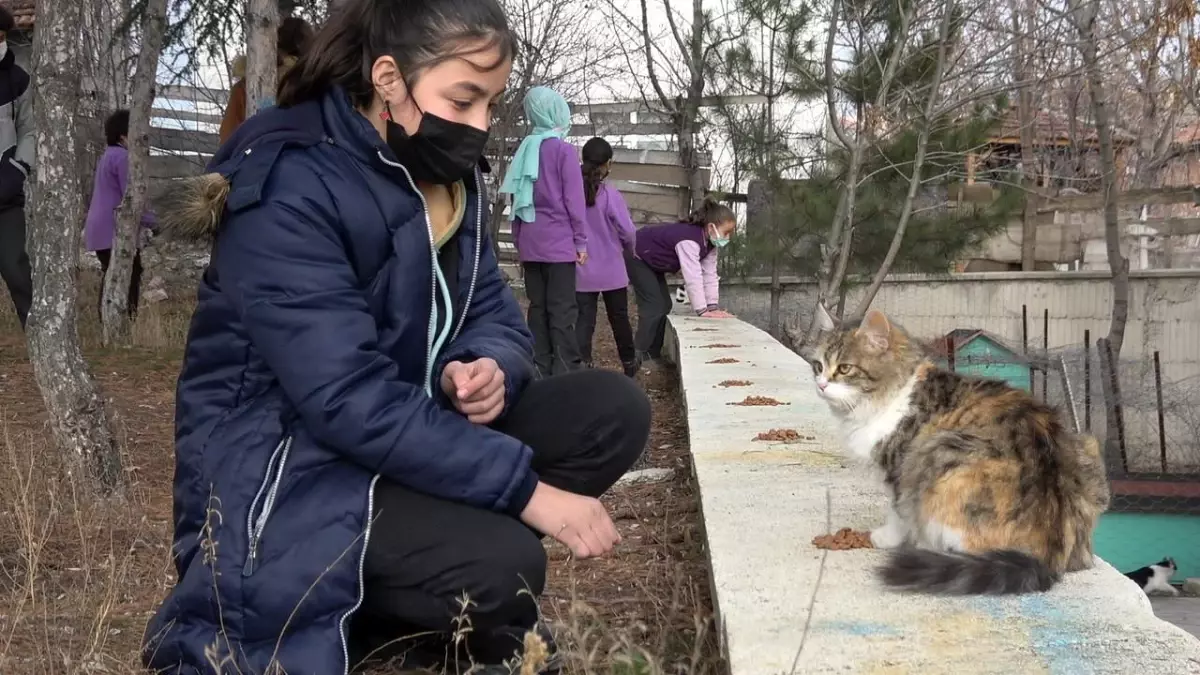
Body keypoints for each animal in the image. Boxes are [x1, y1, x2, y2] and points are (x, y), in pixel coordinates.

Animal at [801, 306, 1108, 593]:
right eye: (818, 366)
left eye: (844, 369)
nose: (821, 385)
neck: (894, 395)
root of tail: (1048, 557)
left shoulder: (900, 467)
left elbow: (898, 511)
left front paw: (886, 537)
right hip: (1087, 450)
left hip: (940, 453)